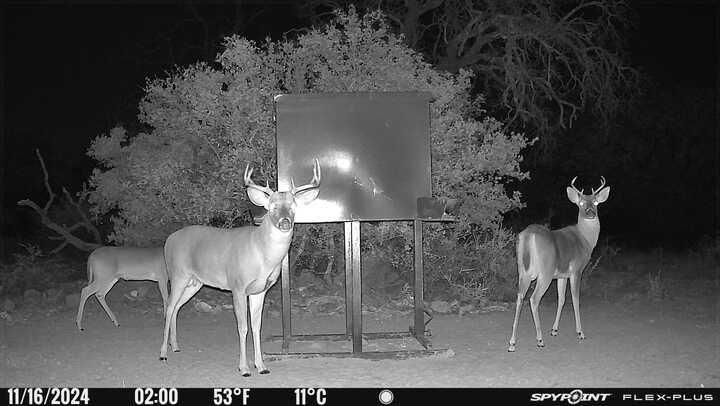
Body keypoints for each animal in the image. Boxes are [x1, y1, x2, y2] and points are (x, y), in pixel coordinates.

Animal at [162, 159, 322, 378]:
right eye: (272, 207)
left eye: (293, 206)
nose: (285, 222)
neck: (262, 256)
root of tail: (168, 241)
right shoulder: (237, 286)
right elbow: (243, 327)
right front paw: (244, 368)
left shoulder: (260, 290)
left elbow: (256, 326)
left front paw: (261, 366)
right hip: (177, 274)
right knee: (169, 307)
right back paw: (163, 354)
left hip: (195, 282)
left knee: (177, 307)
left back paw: (176, 346)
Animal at [506, 177, 608, 352]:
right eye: (581, 203)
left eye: (595, 202)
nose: (590, 213)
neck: (585, 240)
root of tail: (528, 235)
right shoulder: (576, 270)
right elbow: (575, 298)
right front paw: (580, 332)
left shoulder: (562, 275)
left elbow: (562, 299)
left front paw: (554, 330)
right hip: (545, 272)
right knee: (533, 299)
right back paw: (540, 340)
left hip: (523, 271)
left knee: (520, 296)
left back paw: (512, 342)